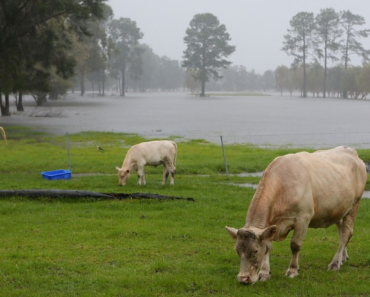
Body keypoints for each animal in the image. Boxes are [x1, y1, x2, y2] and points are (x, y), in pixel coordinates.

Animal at [225, 146, 368, 284]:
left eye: (255, 250)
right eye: (237, 250)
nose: (243, 278)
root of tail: (351, 151)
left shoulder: (303, 218)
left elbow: (295, 245)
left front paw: (292, 270)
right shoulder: (271, 225)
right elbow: (268, 246)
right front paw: (264, 273)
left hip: (354, 205)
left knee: (346, 233)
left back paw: (335, 263)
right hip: (339, 209)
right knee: (341, 231)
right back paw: (343, 257)